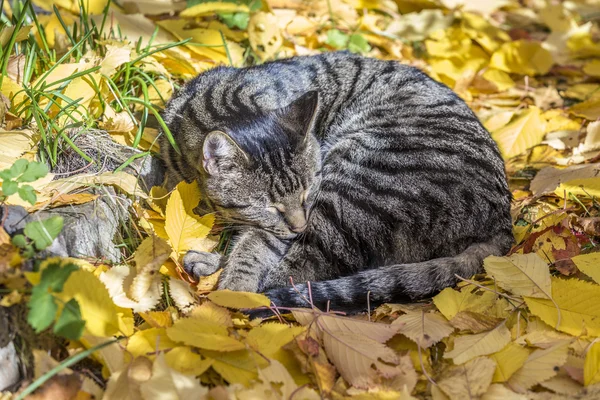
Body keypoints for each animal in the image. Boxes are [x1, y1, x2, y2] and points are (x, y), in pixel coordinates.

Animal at [159, 50, 510, 312]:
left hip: (355, 188)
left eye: (307, 193)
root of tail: (502, 223)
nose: (299, 225)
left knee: (296, 274)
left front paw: (234, 287)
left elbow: (254, 248)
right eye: (270, 206)